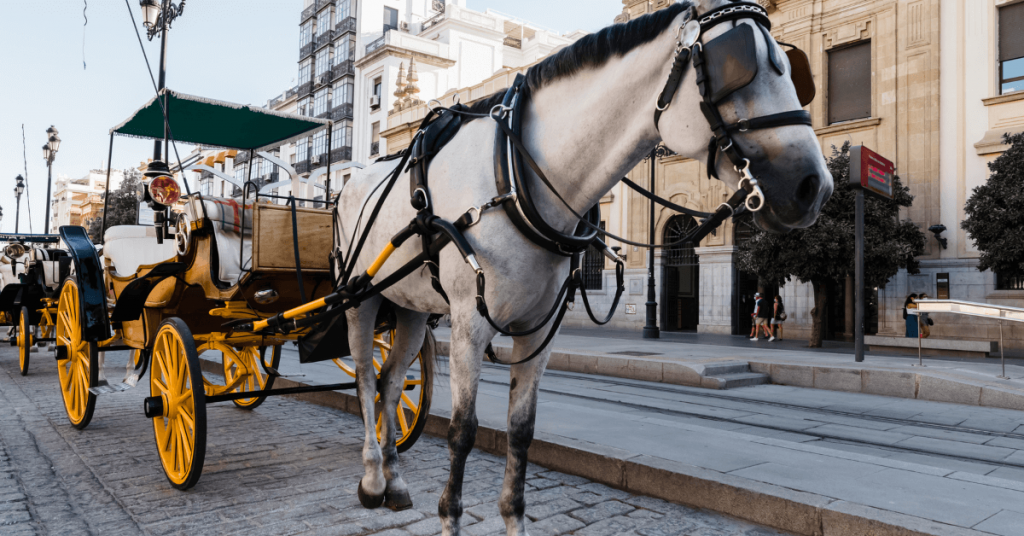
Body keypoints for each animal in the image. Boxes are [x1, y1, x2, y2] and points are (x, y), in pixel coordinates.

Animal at [335, 2, 831, 532]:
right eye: (738, 63)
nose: (814, 186)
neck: (513, 173)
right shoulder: (469, 325)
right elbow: (462, 431)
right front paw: (449, 517)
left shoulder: (539, 328)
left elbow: (521, 431)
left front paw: (514, 519)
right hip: (360, 299)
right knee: (365, 377)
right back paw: (372, 478)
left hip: (409, 307)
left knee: (391, 382)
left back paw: (394, 481)